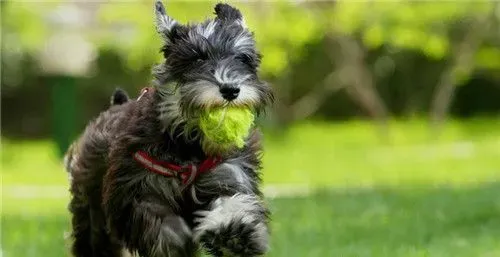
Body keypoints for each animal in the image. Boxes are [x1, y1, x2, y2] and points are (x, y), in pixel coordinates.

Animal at [64, 2, 274, 256]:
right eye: (197, 59)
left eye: (242, 58)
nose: (230, 89)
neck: (188, 144)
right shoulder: (138, 192)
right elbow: (162, 225)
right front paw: (176, 240)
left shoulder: (228, 174)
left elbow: (231, 203)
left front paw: (234, 235)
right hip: (91, 210)